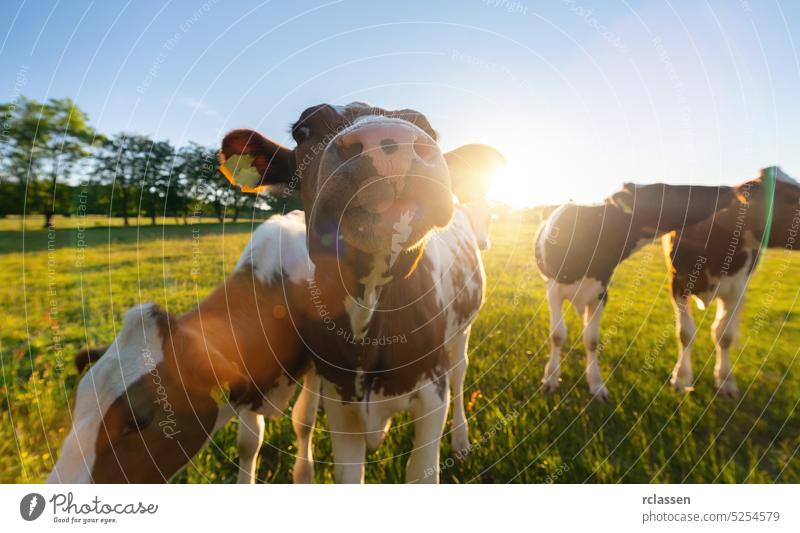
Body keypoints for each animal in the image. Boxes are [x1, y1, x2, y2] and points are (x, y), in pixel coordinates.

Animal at [219, 101, 504, 482]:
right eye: (302, 131)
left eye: (429, 129)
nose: (389, 140)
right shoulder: (340, 402)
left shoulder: (432, 391)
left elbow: (422, 469)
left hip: (462, 332)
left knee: (460, 373)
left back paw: (460, 440)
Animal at [536, 183, 736, 400]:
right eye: (663, 190)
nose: (727, 189)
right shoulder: (553, 290)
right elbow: (557, 335)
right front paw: (550, 378)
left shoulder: (601, 294)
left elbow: (591, 339)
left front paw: (596, 384)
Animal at [664, 165, 800, 394]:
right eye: (792, 197)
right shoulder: (678, 283)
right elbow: (685, 333)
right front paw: (681, 378)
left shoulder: (736, 289)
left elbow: (723, 336)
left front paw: (725, 380)